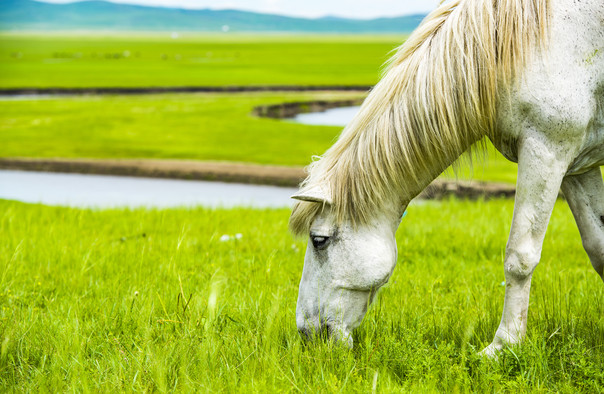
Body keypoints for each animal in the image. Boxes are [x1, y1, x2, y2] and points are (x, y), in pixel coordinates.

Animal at [290, 0, 600, 356]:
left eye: (319, 240)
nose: (307, 333)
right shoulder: (576, 164)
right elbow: (598, 247)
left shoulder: (547, 149)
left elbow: (519, 256)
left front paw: (502, 347)